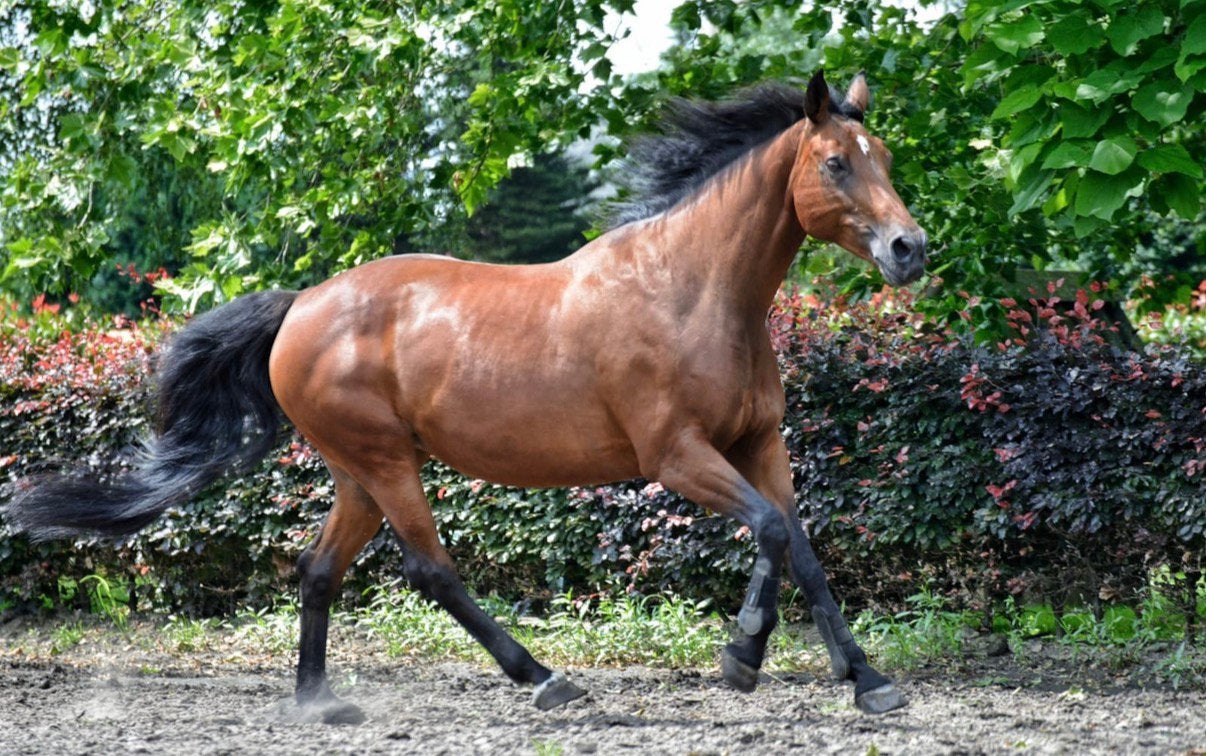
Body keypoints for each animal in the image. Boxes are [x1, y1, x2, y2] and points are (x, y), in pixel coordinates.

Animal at [5, 70, 926, 723]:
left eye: (883, 157)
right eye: (836, 163)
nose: (908, 249)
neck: (691, 292)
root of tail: (301, 306)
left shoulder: (758, 445)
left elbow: (801, 547)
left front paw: (868, 681)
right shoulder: (677, 458)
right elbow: (770, 531)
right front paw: (743, 657)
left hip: (358, 472)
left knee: (319, 569)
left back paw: (321, 704)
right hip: (384, 461)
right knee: (429, 569)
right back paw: (545, 679)